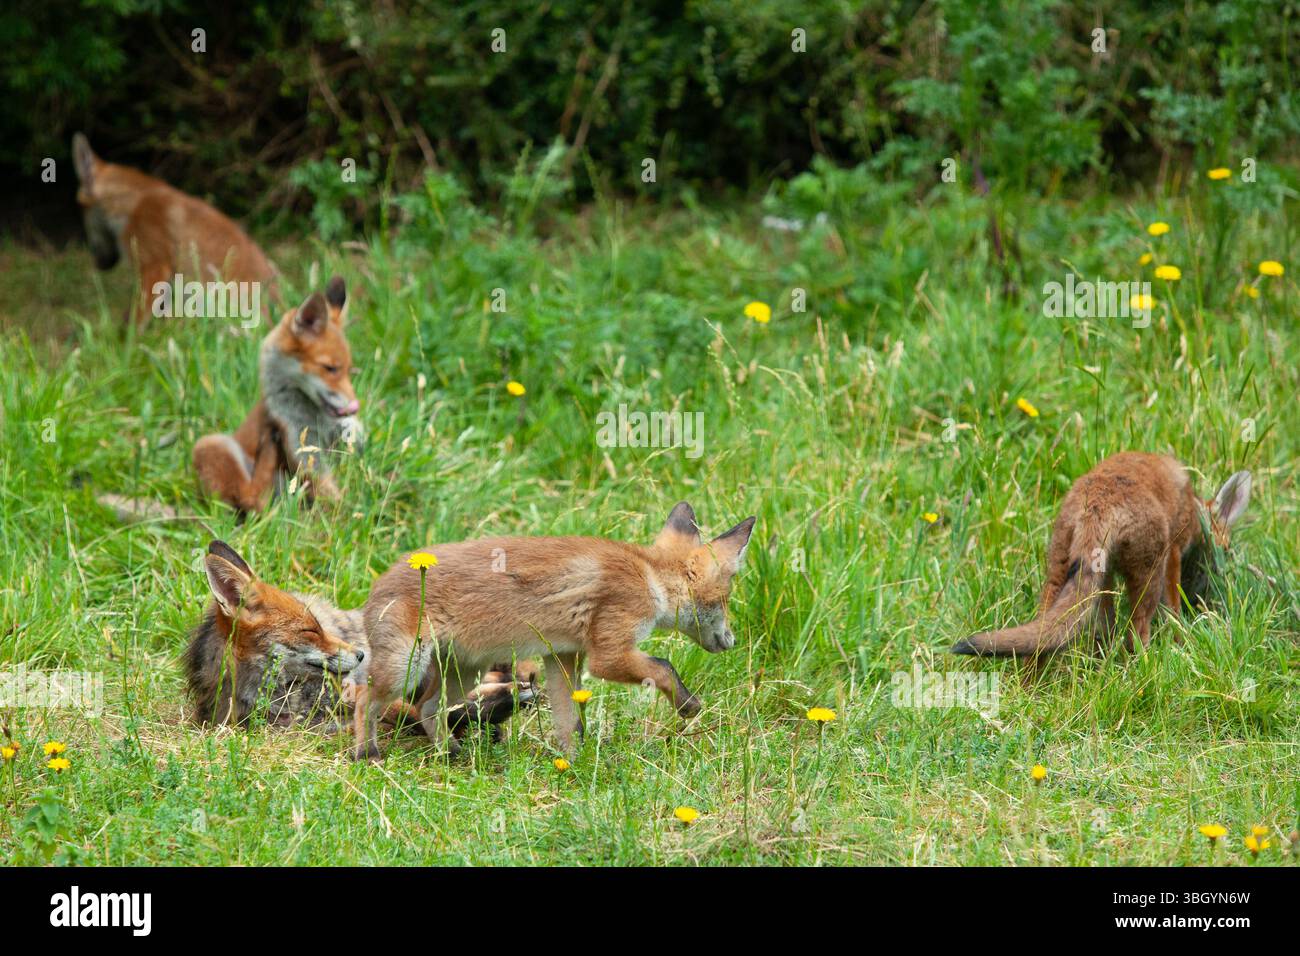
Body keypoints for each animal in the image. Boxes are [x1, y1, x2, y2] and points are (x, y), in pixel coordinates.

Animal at [186, 541, 537, 736]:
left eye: (319, 626)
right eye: (310, 631)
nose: (360, 655)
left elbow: (408, 710)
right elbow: (405, 714)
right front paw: (474, 717)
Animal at [191, 276, 362, 516]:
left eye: (348, 369)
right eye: (330, 368)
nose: (354, 407)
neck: (315, 416)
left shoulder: (331, 443)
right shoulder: (301, 447)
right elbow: (329, 490)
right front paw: (348, 512)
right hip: (212, 445)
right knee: (251, 498)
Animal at [355, 502, 756, 760]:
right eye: (725, 600)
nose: (732, 641)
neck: (650, 577)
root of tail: (376, 585)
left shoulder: (562, 656)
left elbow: (568, 723)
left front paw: (572, 763)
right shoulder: (607, 655)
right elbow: (663, 667)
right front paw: (688, 705)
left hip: (464, 672)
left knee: (427, 708)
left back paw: (451, 754)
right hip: (404, 668)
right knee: (364, 699)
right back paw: (366, 753)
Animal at [952, 452, 1252, 659]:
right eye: (1226, 550)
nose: (1214, 585)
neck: (1193, 504)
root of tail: (1097, 502)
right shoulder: (1175, 550)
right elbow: (1173, 611)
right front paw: (1181, 642)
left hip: (1065, 573)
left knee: (1048, 634)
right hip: (1148, 573)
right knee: (1136, 632)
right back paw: (1145, 671)